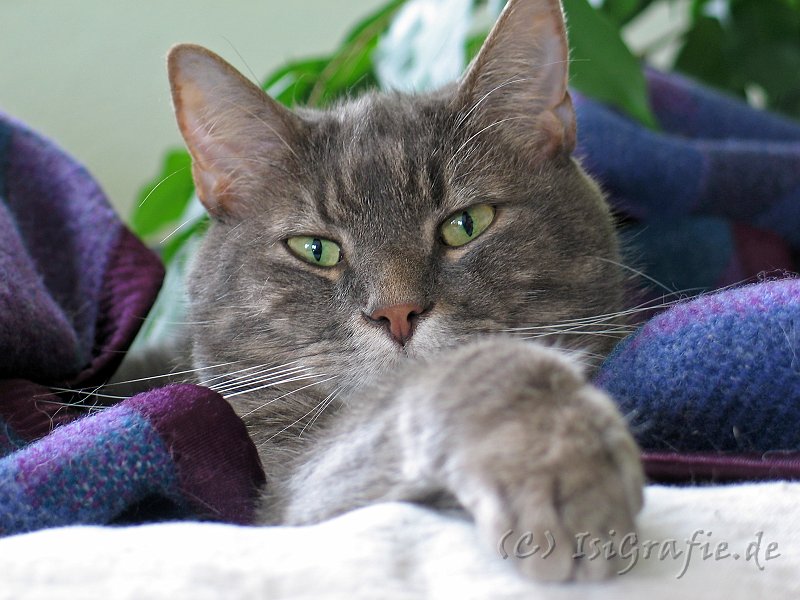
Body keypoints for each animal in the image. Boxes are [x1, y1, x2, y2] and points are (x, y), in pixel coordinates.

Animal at [167, 0, 644, 584]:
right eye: (315, 249)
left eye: (466, 224)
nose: (397, 312)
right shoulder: (286, 488)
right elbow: (470, 372)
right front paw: (559, 461)